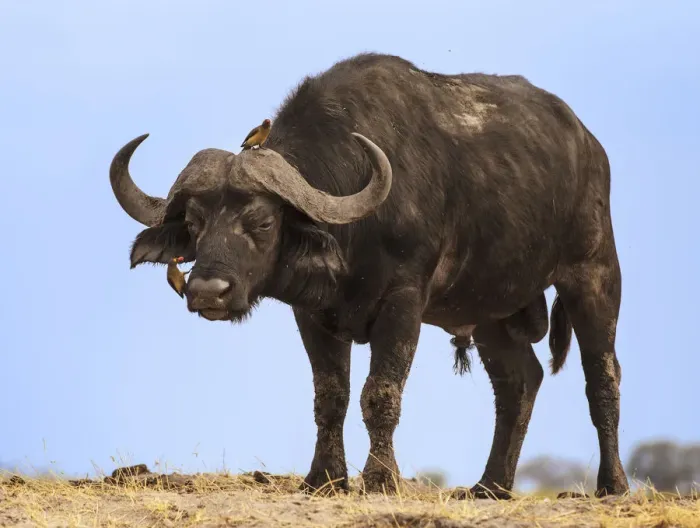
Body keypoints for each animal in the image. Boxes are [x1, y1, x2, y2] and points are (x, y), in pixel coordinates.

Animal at [109, 52, 627, 498]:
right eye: (195, 222)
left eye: (262, 221)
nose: (207, 291)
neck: (355, 229)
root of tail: (590, 145)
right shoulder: (311, 314)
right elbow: (330, 397)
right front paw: (325, 478)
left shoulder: (403, 304)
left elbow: (380, 394)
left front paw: (380, 479)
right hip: (490, 312)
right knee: (520, 383)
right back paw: (490, 487)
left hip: (594, 275)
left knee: (602, 378)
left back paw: (612, 484)